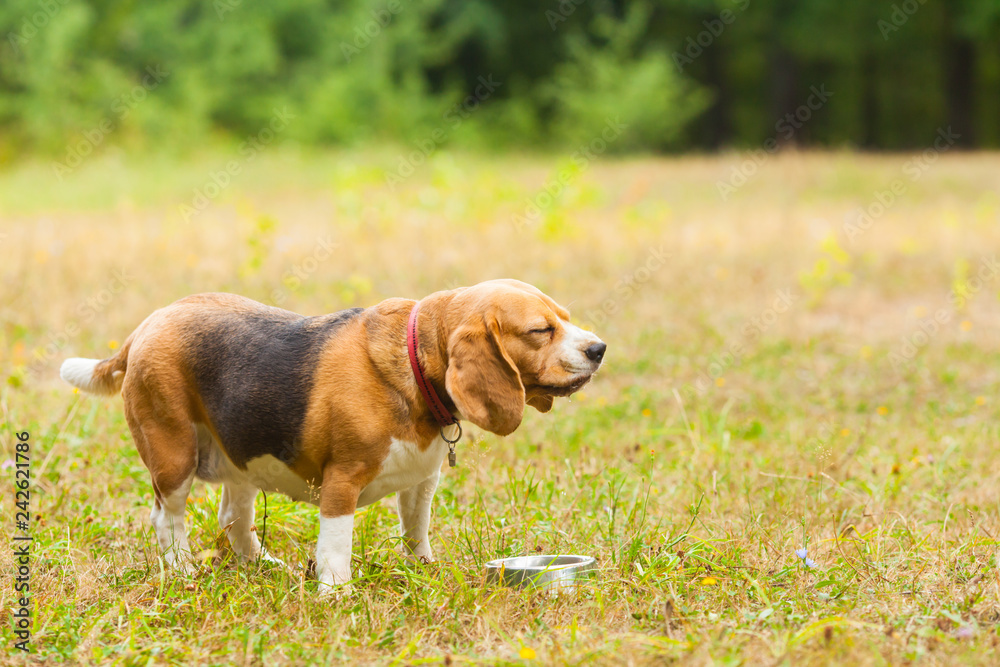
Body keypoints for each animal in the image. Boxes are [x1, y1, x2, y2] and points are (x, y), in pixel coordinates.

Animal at [62, 280, 608, 592]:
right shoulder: (341, 483)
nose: (599, 348)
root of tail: (146, 326)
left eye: (564, 317)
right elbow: (335, 549)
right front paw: (337, 596)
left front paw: (424, 571)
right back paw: (180, 572)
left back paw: (263, 567)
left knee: (233, 519)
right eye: (540, 330)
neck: (413, 362)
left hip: (242, 459)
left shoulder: (421, 483)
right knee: (166, 519)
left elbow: (416, 532)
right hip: (173, 457)